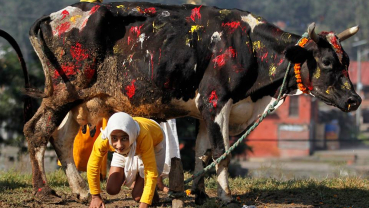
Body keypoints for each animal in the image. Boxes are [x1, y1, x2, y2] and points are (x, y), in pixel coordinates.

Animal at [2, 1, 360, 205]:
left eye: (347, 61)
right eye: (327, 62)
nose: (355, 99)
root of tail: (56, 14)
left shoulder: (206, 110)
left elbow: (203, 150)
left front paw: (199, 193)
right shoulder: (216, 101)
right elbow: (222, 152)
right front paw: (226, 196)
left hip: (82, 99)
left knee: (61, 137)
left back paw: (78, 190)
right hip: (63, 92)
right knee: (36, 130)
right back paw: (43, 191)